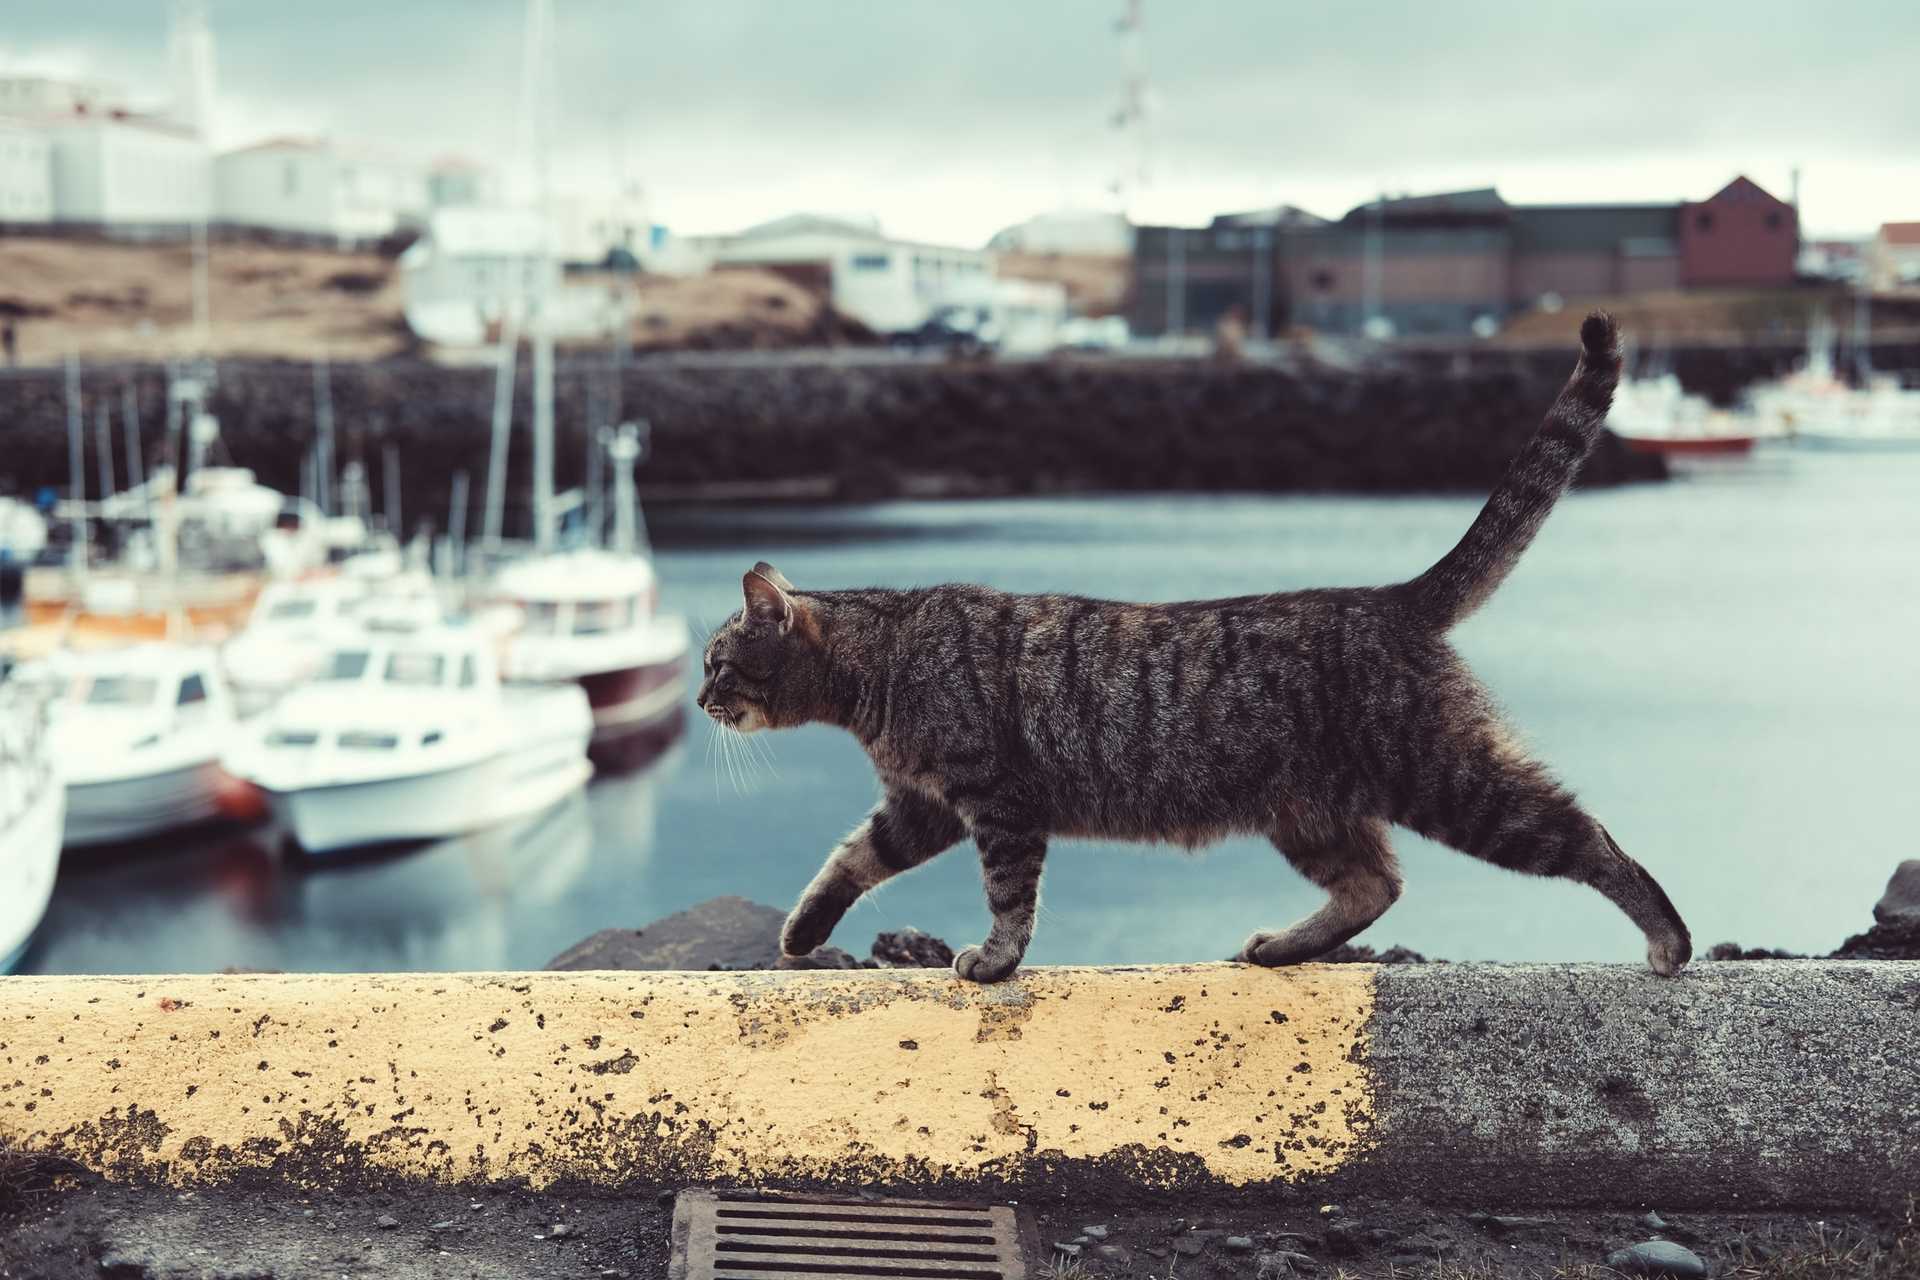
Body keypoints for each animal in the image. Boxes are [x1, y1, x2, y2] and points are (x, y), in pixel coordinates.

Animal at [698, 314, 1689, 990]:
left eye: (715, 662)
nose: (701, 702)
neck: (883, 660)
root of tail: (1389, 597)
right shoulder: (922, 807)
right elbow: (847, 862)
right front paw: (801, 933)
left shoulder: (997, 800)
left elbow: (1009, 896)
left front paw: (996, 960)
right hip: (1311, 814)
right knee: (1375, 886)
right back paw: (1283, 947)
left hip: (1452, 781)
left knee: (1584, 836)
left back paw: (1668, 939)